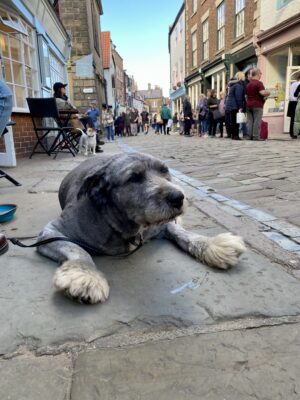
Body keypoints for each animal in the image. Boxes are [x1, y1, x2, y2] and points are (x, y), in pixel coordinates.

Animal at [37, 153, 246, 304]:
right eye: (134, 178)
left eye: (164, 171)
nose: (178, 197)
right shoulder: (51, 232)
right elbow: (78, 249)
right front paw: (85, 275)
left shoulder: (161, 225)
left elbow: (181, 232)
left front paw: (211, 244)